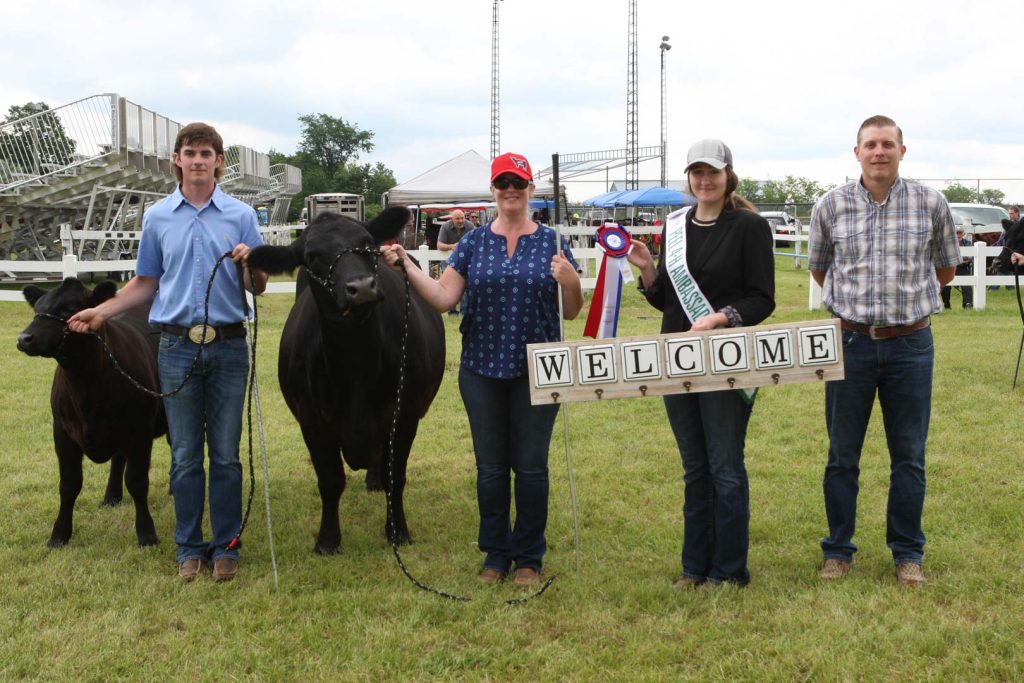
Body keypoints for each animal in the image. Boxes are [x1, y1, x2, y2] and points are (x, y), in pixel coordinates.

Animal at [17, 278, 167, 548]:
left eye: (68, 310)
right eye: (37, 309)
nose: (24, 338)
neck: (85, 382)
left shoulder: (141, 431)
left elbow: (137, 482)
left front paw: (147, 534)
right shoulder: (62, 432)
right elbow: (69, 484)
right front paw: (59, 535)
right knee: (118, 458)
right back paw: (111, 497)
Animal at [247, 208, 444, 557]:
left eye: (366, 244)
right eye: (312, 257)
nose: (362, 287)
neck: (357, 366)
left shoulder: (405, 414)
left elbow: (397, 477)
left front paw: (398, 531)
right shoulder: (311, 421)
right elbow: (330, 481)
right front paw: (327, 540)